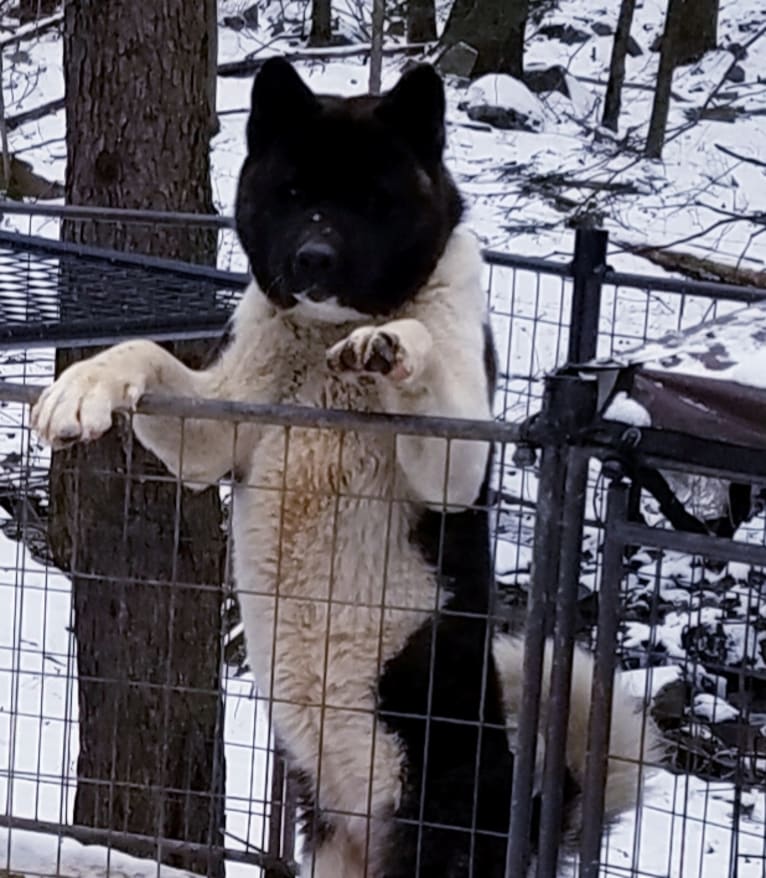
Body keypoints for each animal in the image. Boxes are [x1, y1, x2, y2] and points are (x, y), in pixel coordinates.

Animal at [33, 58, 656, 876]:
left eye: (370, 199)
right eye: (295, 193)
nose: (313, 260)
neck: (328, 339)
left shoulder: (455, 462)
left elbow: (422, 358)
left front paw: (392, 347)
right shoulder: (217, 432)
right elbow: (145, 356)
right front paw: (84, 388)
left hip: (436, 832)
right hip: (330, 846)